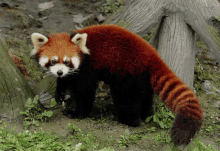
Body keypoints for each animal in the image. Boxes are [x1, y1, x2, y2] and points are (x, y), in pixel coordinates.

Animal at [31, 24, 203, 146]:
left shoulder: (88, 68)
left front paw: (77, 113)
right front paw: (59, 92)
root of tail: (151, 54)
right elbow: (66, 80)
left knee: (126, 99)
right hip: (141, 76)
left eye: (67, 61)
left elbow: (85, 92)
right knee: (145, 95)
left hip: (128, 72)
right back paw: (146, 114)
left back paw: (127, 120)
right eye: (53, 61)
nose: (59, 71)